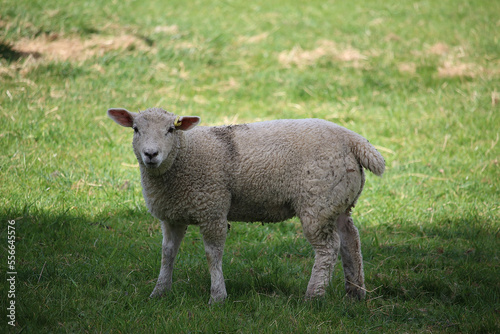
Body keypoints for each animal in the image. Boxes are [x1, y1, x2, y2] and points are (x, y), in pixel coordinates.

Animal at [107, 107, 384, 306]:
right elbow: (167, 254)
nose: (151, 154)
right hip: (338, 200)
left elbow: (213, 254)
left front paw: (217, 297)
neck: (184, 156)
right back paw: (355, 293)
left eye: (170, 130)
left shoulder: (213, 208)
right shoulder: (172, 216)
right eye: (135, 129)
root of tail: (354, 140)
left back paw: (313, 296)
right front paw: (159, 292)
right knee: (350, 239)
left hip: (317, 200)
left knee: (328, 248)